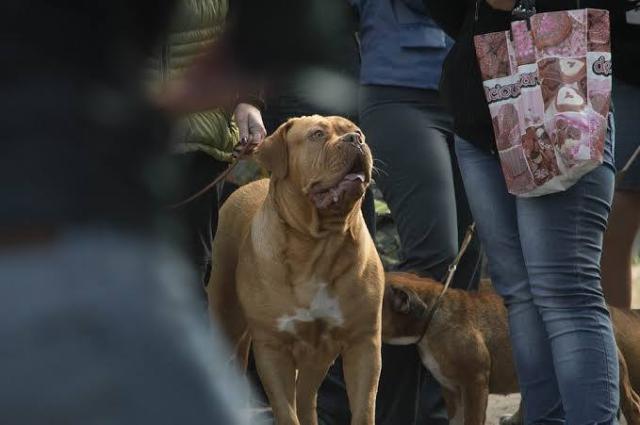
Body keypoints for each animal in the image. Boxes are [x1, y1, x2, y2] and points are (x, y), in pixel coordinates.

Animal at [208, 115, 382, 424]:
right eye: (317, 135)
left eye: (357, 131)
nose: (355, 139)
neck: (319, 244)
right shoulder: (273, 347)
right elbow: (285, 411)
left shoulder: (364, 341)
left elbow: (364, 407)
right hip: (225, 317)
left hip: (318, 358)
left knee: (306, 397)